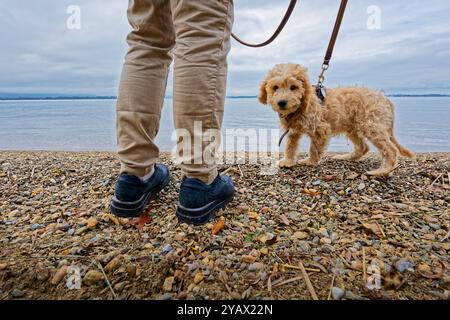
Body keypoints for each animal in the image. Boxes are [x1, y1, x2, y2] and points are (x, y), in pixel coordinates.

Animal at [260, 63, 414, 176]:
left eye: (293, 87)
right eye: (275, 87)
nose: (282, 102)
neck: (300, 107)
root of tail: (385, 99)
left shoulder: (321, 129)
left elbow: (314, 148)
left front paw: (311, 161)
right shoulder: (293, 130)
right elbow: (291, 146)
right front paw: (288, 161)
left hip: (371, 125)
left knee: (391, 150)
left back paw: (381, 171)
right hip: (353, 128)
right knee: (363, 147)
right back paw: (345, 157)